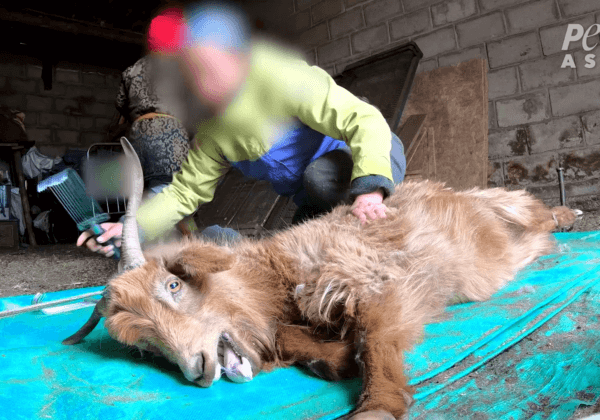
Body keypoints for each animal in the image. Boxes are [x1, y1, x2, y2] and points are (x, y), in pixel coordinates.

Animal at [65, 139, 580, 420]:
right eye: (142, 347)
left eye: (173, 286)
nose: (198, 369)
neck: (277, 270)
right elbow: (291, 336)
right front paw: (330, 361)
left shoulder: (377, 281)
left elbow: (374, 339)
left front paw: (375, 405)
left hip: (502, 201)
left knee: (535, 210)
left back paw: (569, 215)